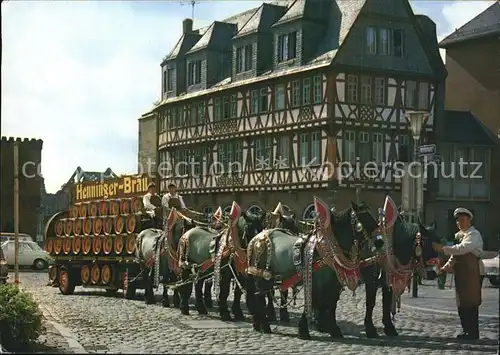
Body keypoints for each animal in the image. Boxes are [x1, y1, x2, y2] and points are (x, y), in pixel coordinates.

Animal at [246, 199, 378, 340]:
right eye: (363, 218)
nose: (378, 244)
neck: (328, 250)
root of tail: (256, 238)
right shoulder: (314, 280)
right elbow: (312, 301)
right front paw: (304, 330)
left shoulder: (333, 284)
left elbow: (330, 304)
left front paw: (333, 329)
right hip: (261, 276)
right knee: (260, 298)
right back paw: (265, 326)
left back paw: (257, 323)